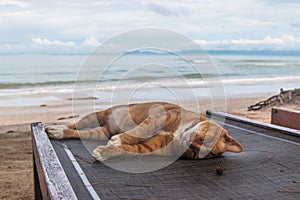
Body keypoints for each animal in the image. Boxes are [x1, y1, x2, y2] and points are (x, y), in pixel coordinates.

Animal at [47, 101, 244, 161]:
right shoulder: (157, 119)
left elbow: (129, 149)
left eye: (195, 152)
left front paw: (107, 151)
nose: (188, 143)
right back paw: (57, 128)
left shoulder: (151, 147)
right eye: (204, 141)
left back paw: (58, 132)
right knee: (74, 125)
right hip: (96, 115)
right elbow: (139, 132)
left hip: (100, 132)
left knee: (79, 133)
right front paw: (119, 139)